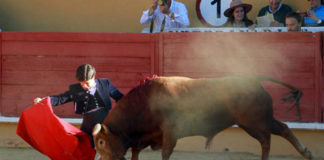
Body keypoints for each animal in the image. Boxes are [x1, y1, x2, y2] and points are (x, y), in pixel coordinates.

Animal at [92, 75, 312, 160]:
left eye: (101, 142)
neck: (145, 102)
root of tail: (252, 79)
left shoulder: (169, 133)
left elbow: (165, 152)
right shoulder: (144, 137)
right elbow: (136, 152)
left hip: (255, 122)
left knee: (267, 138)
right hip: (258, 121)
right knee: (282, 129)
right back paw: (306, 152)